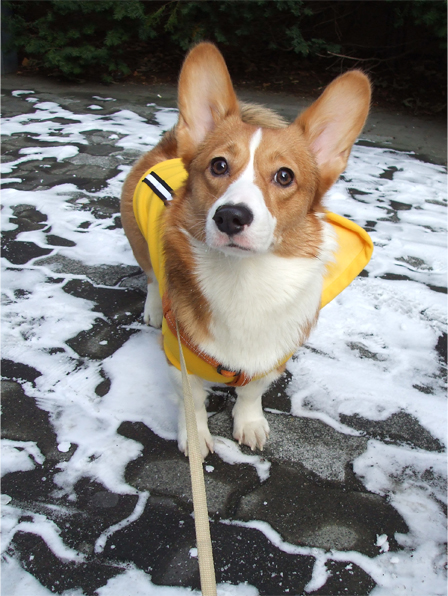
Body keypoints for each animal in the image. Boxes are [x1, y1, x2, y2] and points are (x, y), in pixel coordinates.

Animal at [121, 42, 371, 459]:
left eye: (284, 176)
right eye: (219, 165)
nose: (230, 216)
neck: (246, 279)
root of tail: (169, 148)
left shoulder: (272, 356)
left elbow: (252, 391)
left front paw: (250, 424)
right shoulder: (179, 356)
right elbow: (193, 402)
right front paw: (196, 438)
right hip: (139, 240)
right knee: (153, 276)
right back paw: (154, 308)